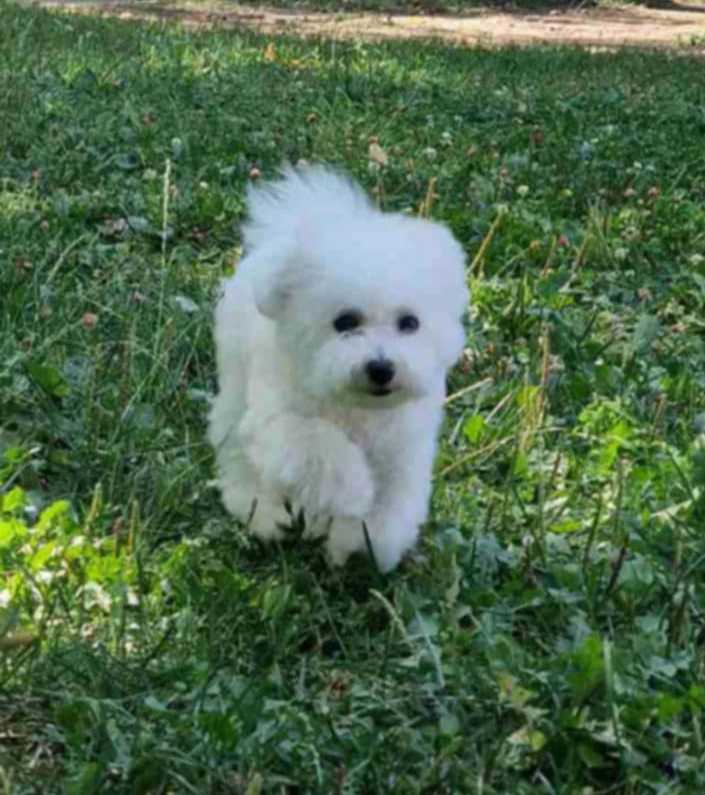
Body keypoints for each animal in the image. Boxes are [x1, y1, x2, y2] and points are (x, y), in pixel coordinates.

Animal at [206, 166, 468, 572]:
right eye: (345, 322)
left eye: (409, 323)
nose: (381, 368)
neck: (359, 407)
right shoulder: (276, 423)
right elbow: (318, 443)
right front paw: (354, 492)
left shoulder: (404, 448)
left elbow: (392, 502)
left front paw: (361, 541)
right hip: (235, 383)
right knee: (236, 448)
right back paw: (263, 512)